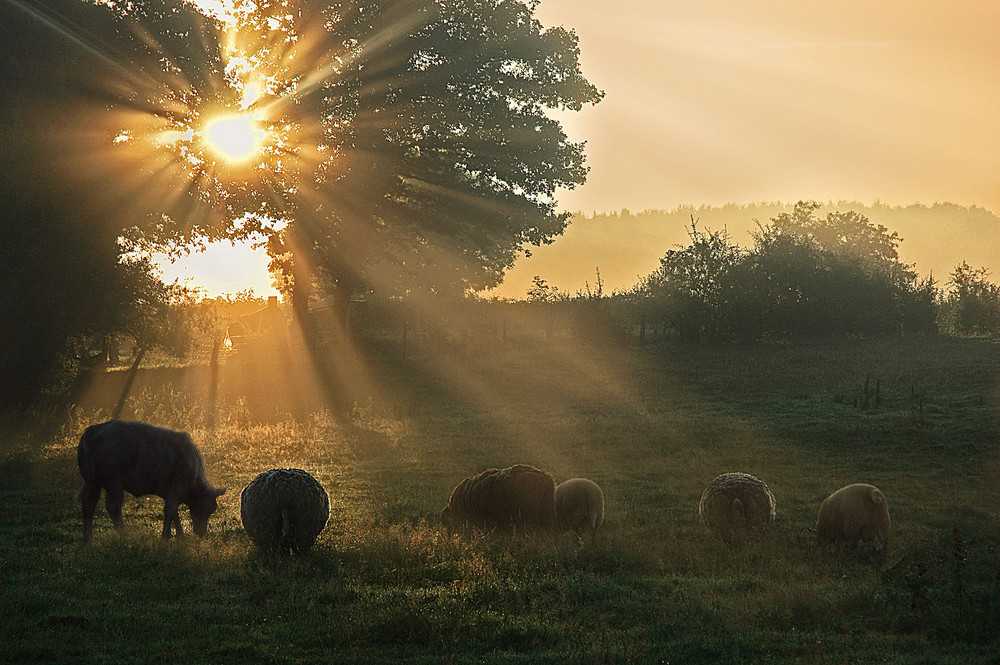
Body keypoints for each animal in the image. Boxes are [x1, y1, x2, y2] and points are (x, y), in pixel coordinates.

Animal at [78, 422, 227, 544]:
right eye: (209, 507)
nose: (201, 532)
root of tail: (93, 430)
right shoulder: (179, 484)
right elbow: (171, 509)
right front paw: (167, 537)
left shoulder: (169, 491)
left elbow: (173, 512)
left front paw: (177, 535)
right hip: (115, 484)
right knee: (113, 506)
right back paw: (124, 536)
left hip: (93, 483)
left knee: (89, 503)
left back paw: (87, 539)